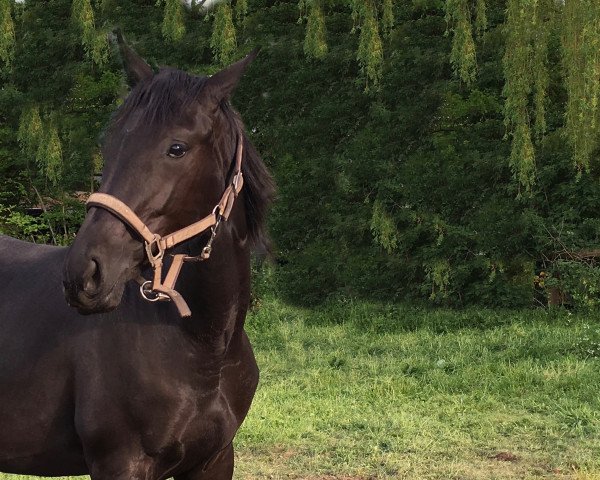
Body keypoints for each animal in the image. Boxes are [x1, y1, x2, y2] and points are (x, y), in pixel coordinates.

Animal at [0, 35, 274, 478]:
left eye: (177, 148)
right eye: (110, 144)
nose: (83, 274)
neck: (201, 345)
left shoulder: (215, 461)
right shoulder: (120, 462)